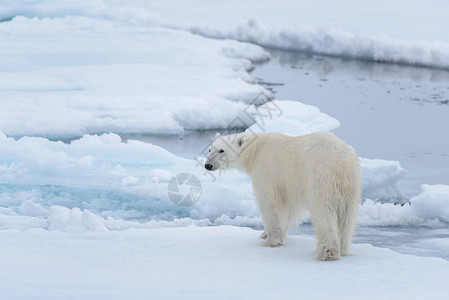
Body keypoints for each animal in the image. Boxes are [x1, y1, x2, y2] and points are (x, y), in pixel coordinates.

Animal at [206, 131, 360, 260]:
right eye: (210, 149)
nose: (208, 165)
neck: (256, 150)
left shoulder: (267, 171)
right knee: (347, 216)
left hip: (320, 176)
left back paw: (328, 252)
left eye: (222, 150)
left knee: (323, 211)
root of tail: (341, 164)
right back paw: (344, 249)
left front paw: (270, 240)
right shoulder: (289, 184)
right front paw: (265, 234)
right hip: (351, 186)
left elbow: (268, 202)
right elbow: (289, 208)